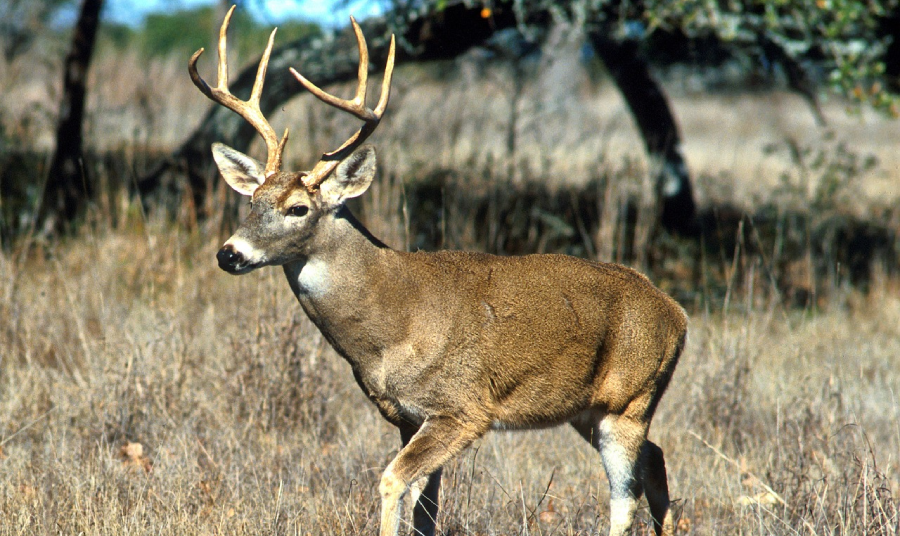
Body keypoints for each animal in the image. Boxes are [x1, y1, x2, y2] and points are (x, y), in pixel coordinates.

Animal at [189, 7, 688, 536]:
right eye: (252, 202)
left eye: (298, 208)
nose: (229, 254)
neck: (391, 325)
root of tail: (676, 313)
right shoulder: (407, 416)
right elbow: (424, 508)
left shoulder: (463, 408)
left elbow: (392, 481)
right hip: (587, 409)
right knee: (655, 459)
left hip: (629, 398)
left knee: (625, 494)